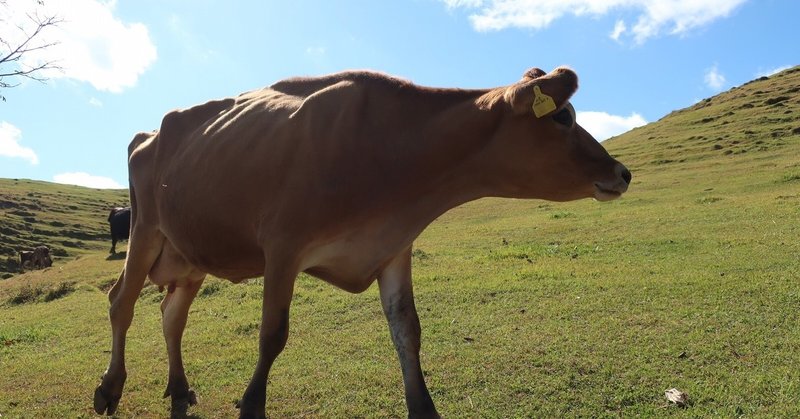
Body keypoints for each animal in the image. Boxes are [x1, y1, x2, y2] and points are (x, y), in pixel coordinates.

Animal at [94, 67, 632, 418]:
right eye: (562, 118)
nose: (622, 172)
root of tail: (150, 130)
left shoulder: (392, 245)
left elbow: (407, 330)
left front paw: (424, 407)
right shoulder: (283, 246)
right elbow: (272, 334)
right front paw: (251, 404)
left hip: (190, 253)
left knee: (171, 317)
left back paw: (179, 388)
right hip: (145, 231)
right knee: (121, 302)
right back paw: (110, 388)